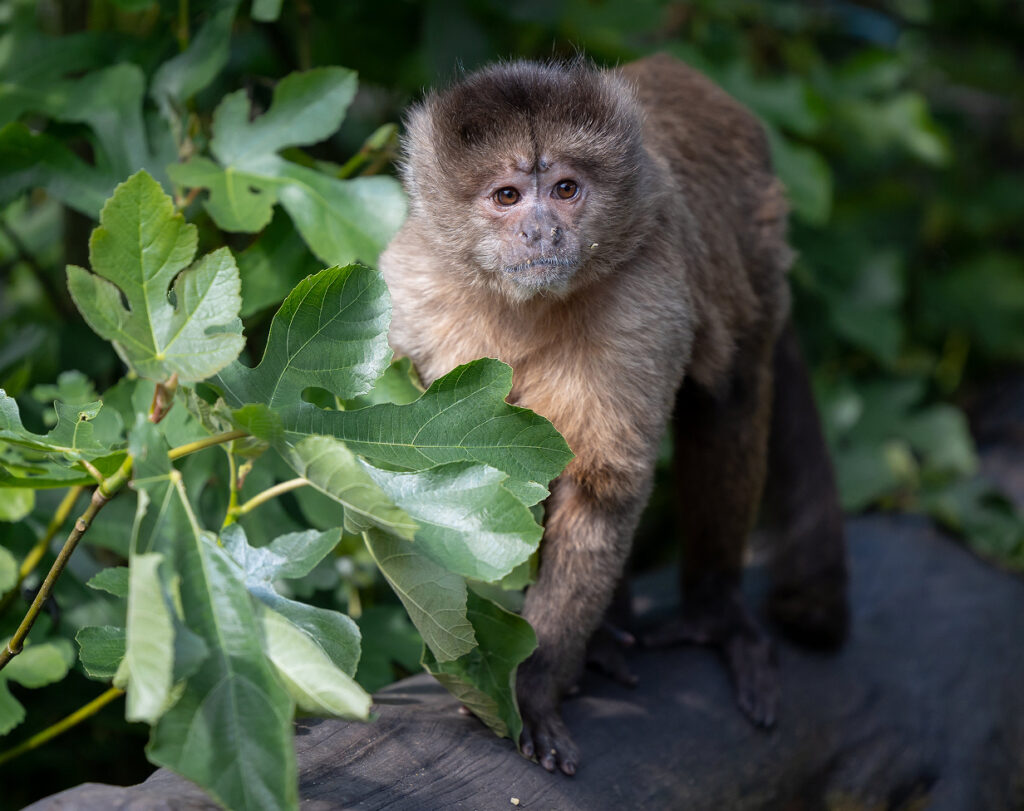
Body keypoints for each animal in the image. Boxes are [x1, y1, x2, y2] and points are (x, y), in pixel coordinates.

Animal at [378, 54, 849, 776]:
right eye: (507, 196)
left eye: (566, 188)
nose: (543, 230)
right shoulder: (414, 295)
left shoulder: (643, 298)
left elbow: (602, 490)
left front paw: (531, 683)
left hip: (761, 251)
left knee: (729, 392)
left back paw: (713, 612)